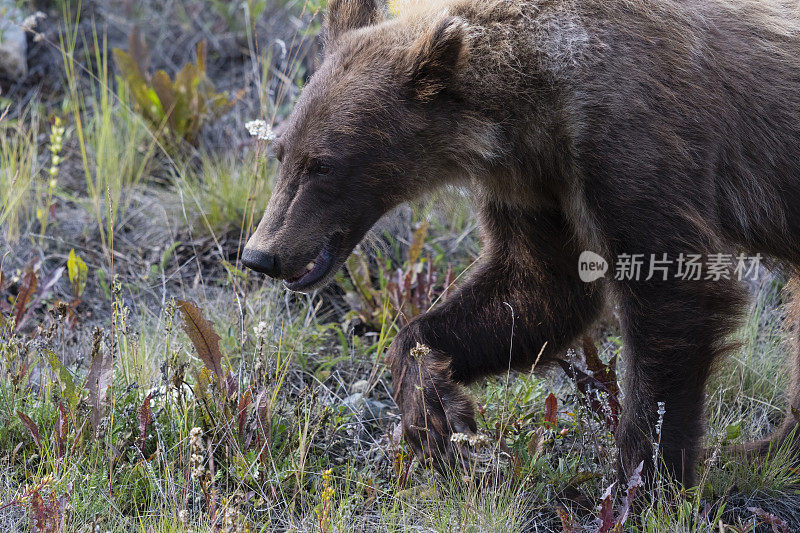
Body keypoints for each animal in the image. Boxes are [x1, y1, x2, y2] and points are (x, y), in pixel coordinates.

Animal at [241, 0, 800, 484]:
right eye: (281, 152)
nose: (261, 254)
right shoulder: (533, 184)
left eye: (323, 164)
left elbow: (673, 294)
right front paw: (436, 414)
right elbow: (539, 289)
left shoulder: (630, 142)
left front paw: (644, 480)